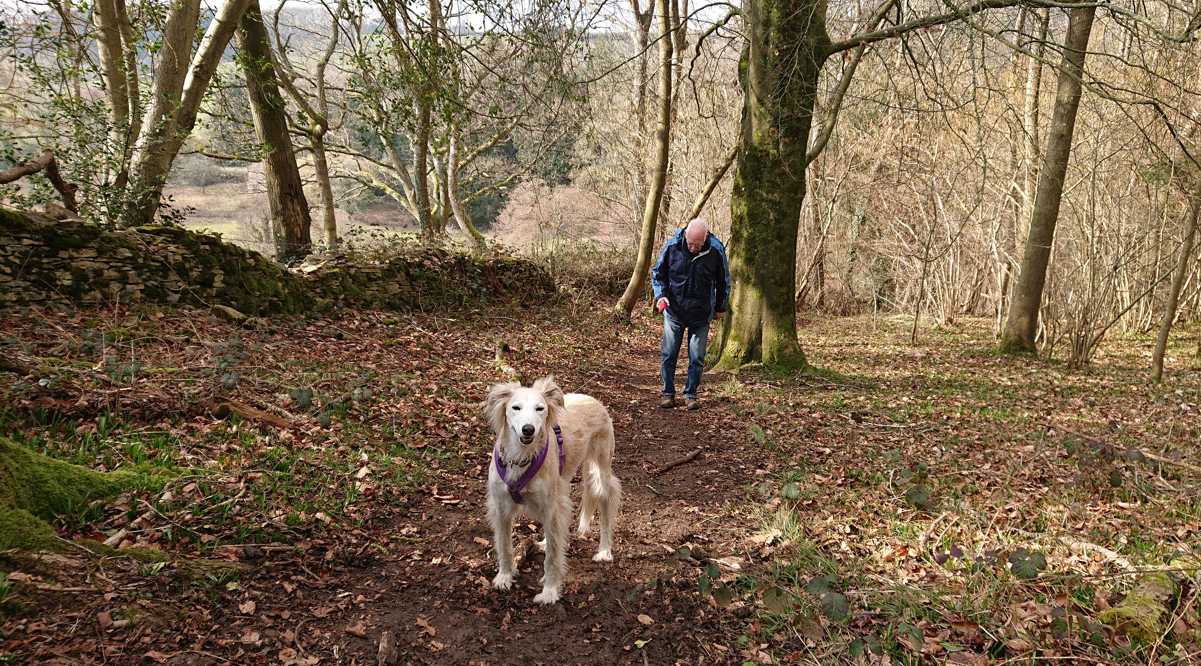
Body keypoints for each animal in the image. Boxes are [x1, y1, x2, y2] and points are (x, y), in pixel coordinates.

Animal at [482, 374, 624, 604]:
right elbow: (504, 545)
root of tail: (592, 398)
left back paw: (604, 550)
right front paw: (504, 576)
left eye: (540, 408)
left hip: (602, 471)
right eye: (515, 407)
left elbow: (553, 556)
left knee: (606, 507)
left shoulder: (552, 507)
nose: (528, 429)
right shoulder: (501, 508)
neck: (521, 457)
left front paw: (549, 591)